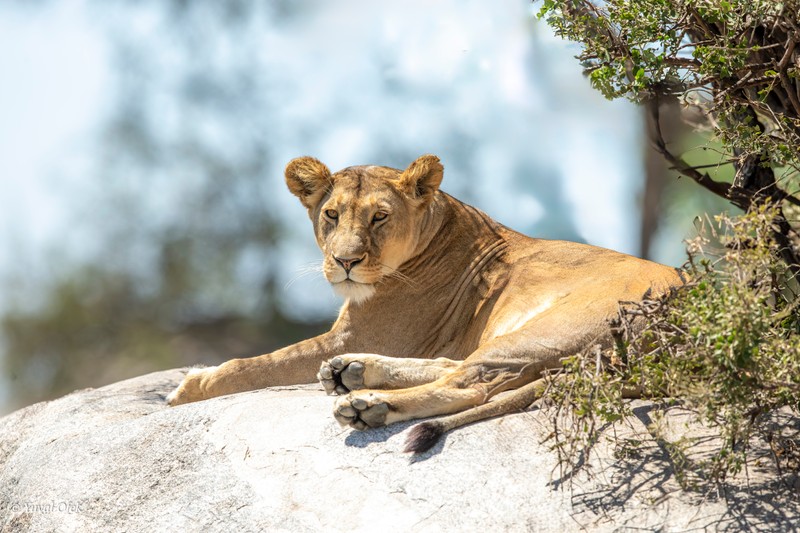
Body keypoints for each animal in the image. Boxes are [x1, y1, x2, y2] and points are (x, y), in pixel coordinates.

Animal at [167, 154, 683, 453]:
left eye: (379, 217)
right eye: (331, 214)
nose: (345, 261)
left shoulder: (357, 331)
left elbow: (256, 364)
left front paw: (189, 388)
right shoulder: (356, 334)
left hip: (549, 330)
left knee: (469, 384)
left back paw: (367, 403)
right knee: (458, 366)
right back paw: (352, 371)